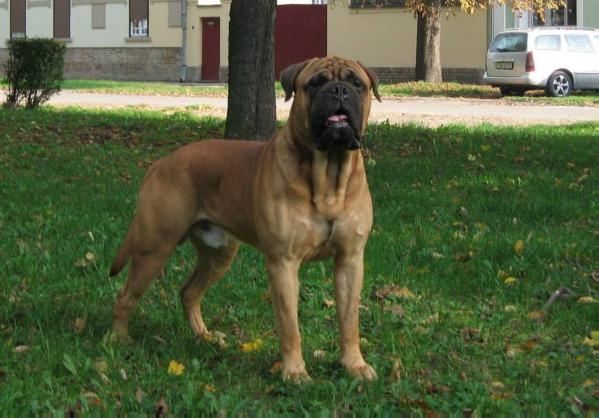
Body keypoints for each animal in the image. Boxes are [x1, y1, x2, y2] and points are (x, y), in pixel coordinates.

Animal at [108, 55, 380, 382]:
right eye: (315, 83)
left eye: (356, 83)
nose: (339, 90)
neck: (328, 173)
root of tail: (161, 163)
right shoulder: (283, 263)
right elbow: (290, 326)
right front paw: (295, 372)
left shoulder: (350, 260)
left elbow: (349, 320)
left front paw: (354, 365)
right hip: (154, 247)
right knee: (126, 295)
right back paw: (117, 340)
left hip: (218, 254)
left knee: (189, 292)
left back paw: (205, 337)